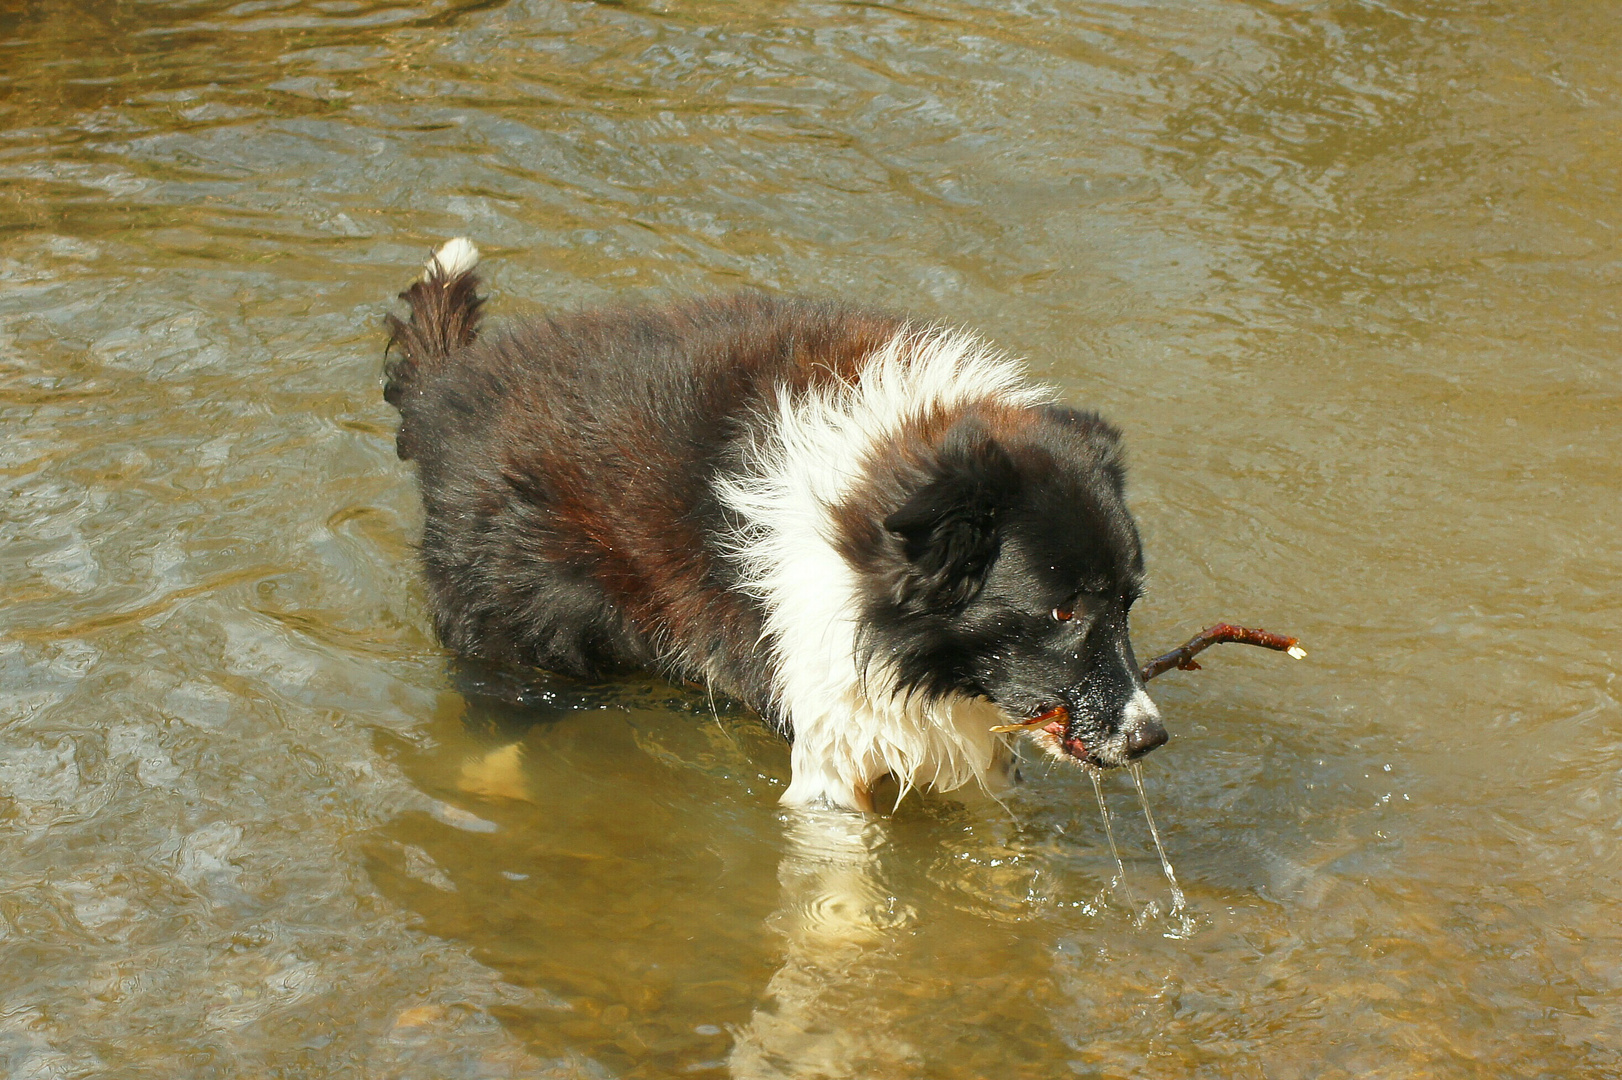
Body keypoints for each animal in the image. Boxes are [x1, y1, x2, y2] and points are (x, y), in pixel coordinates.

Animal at [379, 235, 1167, 807]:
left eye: (1128, 603)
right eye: (1062, 611)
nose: (1149, 737)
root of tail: (448, 386)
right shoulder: (830, 723)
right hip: (521, 618)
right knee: (501, 702)